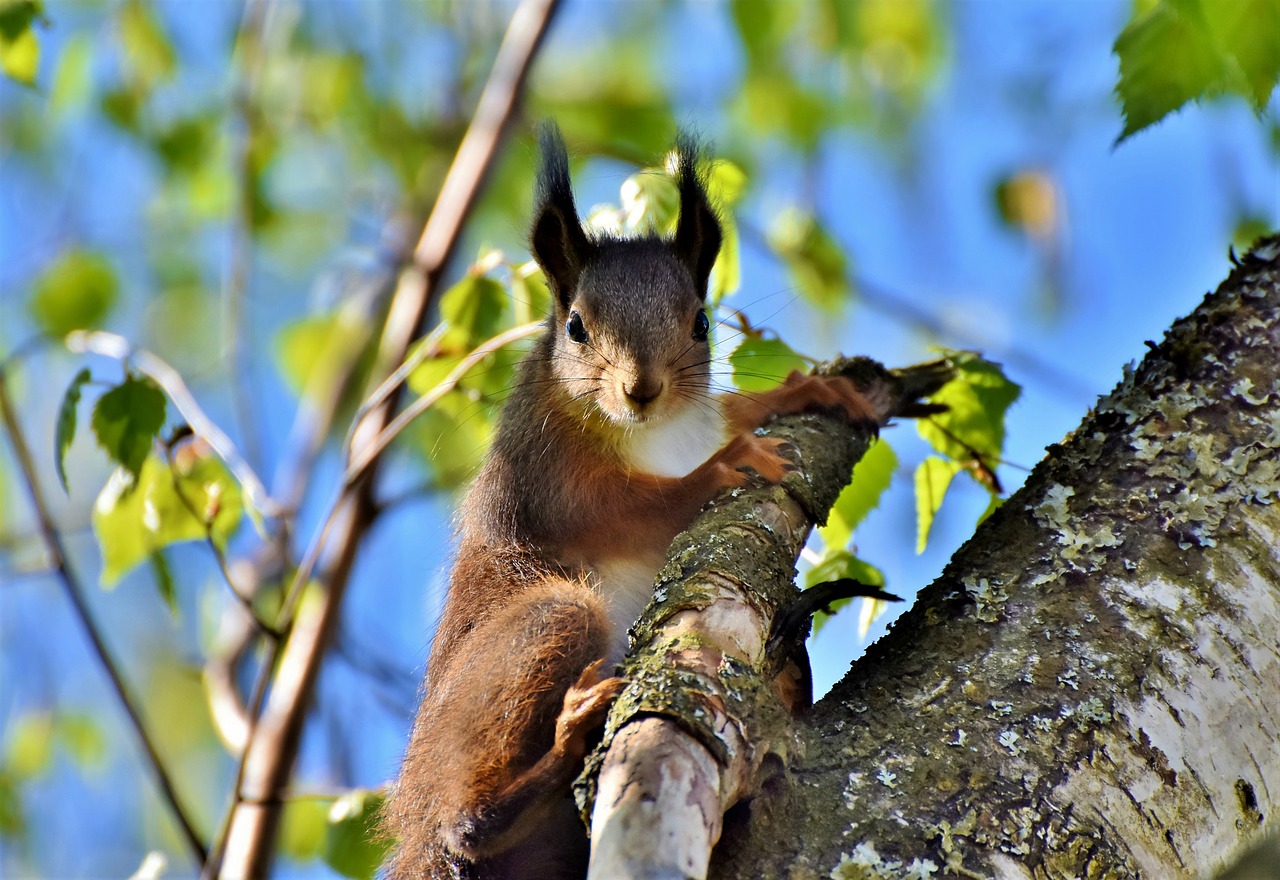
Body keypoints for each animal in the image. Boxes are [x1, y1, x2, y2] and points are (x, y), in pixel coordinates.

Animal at [378, 125, 880, 880]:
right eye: (576, 327)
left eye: (701, 322)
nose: (641, 389)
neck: (657, 432)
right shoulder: (545, 478)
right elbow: (629, 509)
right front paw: (729, 464)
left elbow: (733, 410)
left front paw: (802, 391)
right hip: (544, 627)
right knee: (463, 822)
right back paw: (566, 737)